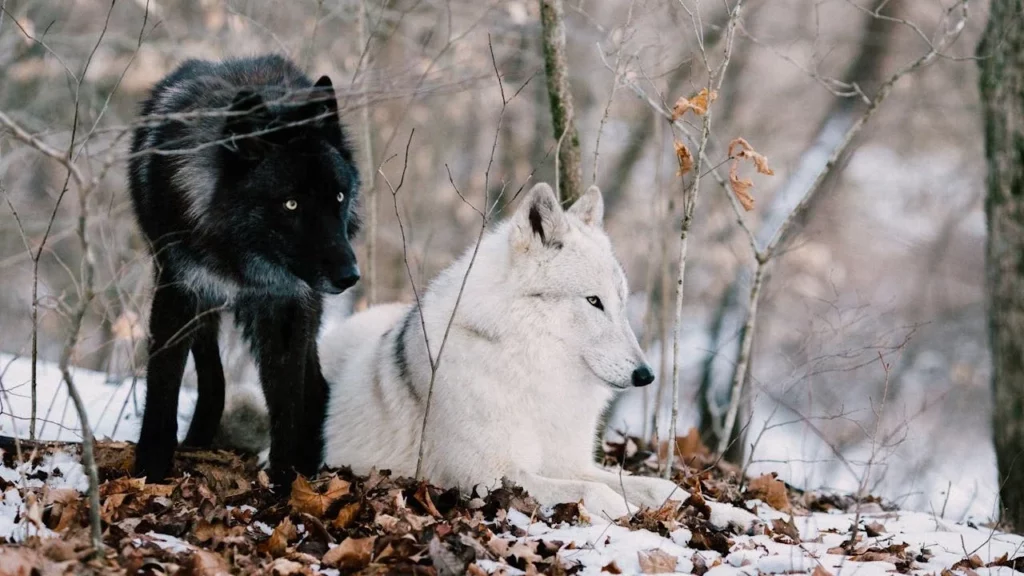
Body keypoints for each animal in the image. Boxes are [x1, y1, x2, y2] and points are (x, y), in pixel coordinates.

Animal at [127, 54, 360, 486]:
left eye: (338, 196)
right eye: (290, 204)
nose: (349, 276)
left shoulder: (287, 306)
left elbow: (287, 400)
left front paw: (287, 481)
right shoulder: (179, 290)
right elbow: (164, 385)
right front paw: (150, 469)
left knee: (315, 387)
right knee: (212, 375)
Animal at [318, 183, 753, 527]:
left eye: (621, 302)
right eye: (593, 301)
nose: (645, 374)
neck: (534, 373)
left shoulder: (573, 464)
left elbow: (662, 486)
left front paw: (728, 512)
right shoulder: (485, 477)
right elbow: (597, 493)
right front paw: (630, 514)